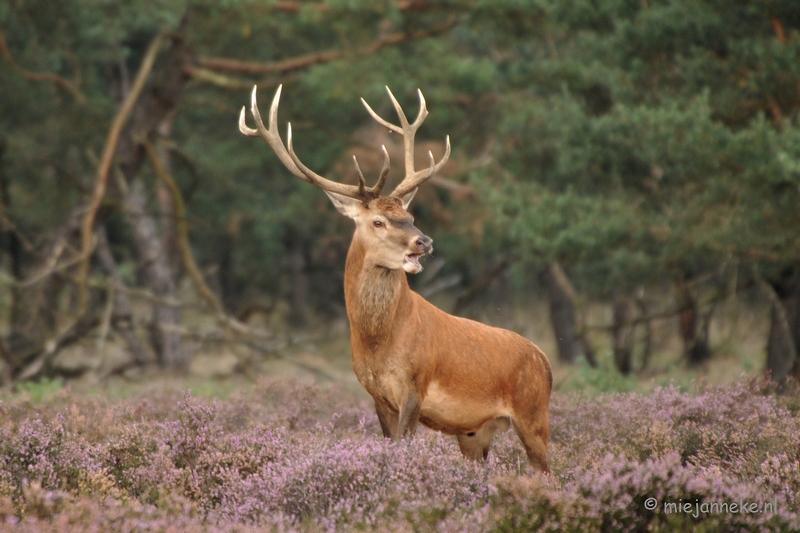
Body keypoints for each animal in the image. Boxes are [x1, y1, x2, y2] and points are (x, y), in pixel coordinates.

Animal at [238, 83, 552, 470]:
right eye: (378, 221)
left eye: (410, 215)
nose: (424, 241)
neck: (379, 343)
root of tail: (545, 361)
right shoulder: (376, 395)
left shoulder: (415, 387)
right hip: (474, 434)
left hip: (534, 415)